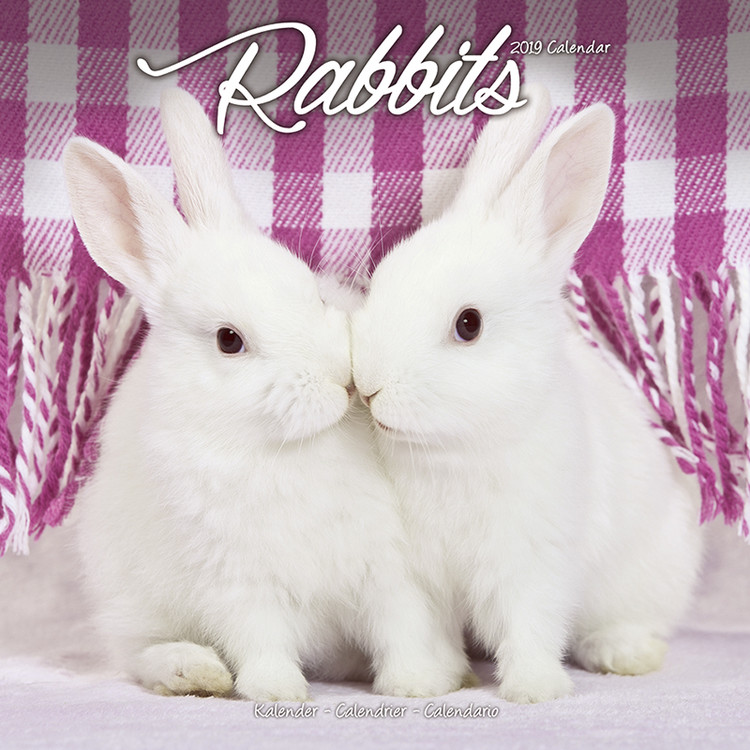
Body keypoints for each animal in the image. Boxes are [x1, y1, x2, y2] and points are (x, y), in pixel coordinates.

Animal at [62, 88, 468, 702]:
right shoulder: (239, 583)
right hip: (130, 601)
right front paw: (279, 692)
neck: (293, 448)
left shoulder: (389, 570)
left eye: (313, 292)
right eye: (229, 340)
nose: (341, 379)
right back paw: (193, 671)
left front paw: (416, 685)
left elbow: (402, 628)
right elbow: (262, 640)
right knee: (139, 654)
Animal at [350, 84, 703, 704]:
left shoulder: (533, 562)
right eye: (379, 283)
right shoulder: (413, 574)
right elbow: (418, 631)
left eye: (468, 325)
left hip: (648, 576)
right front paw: (421, 684)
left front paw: (535, 690)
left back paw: (624, 654)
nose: (369, 387)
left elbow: (529, 626)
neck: (455, 452)